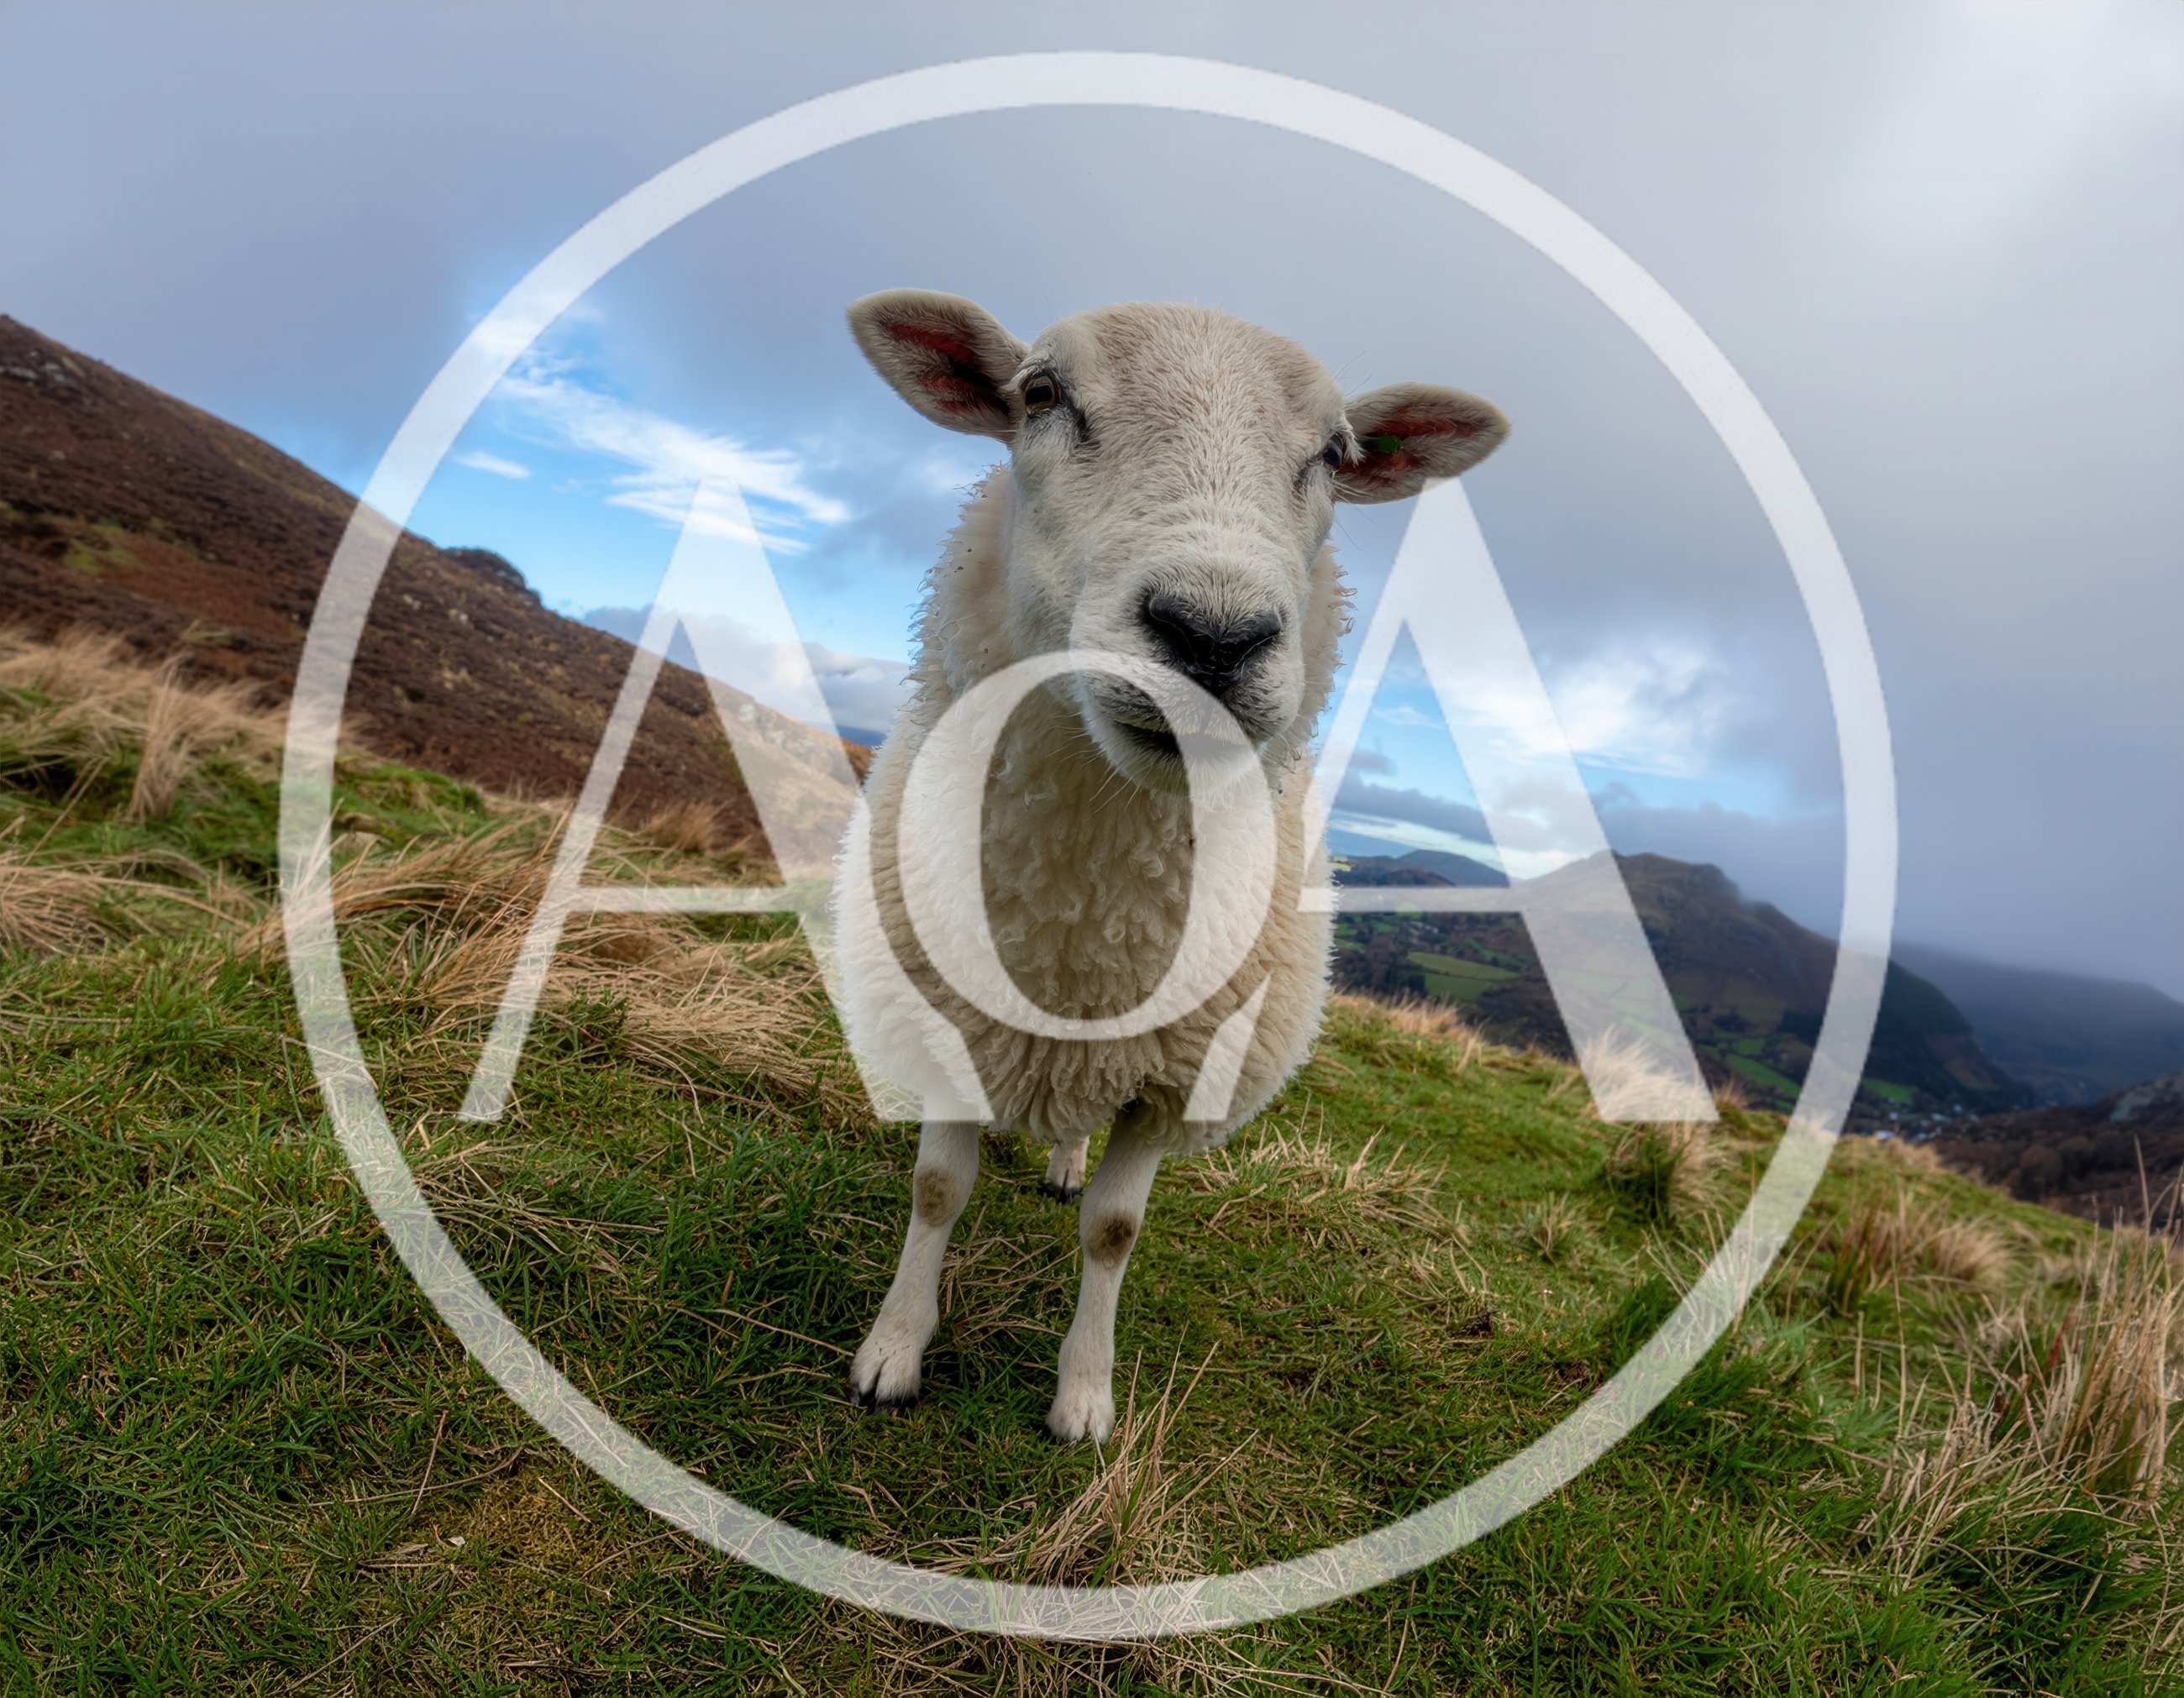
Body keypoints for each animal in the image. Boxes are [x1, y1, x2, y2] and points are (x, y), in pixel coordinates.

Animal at [833, 291, 1507, 1441]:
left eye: (1334, 454)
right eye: (1041, 394)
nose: (1213, 634)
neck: (1084, 926)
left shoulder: (1174, 1077)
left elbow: (1113, 1231)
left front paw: (1083, 1396)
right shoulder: (944, 1018)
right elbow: (935, 1190)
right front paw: (893, 1348)